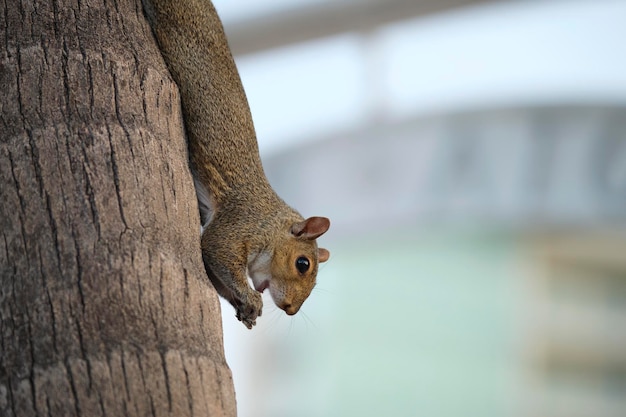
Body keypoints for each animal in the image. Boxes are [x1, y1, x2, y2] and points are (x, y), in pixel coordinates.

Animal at [139, 0, 330, 326]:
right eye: (302, 263)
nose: (291, 309)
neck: (270, 221)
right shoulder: (238, 224)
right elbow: (216, 250)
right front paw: (250, 298)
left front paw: (244, 306)